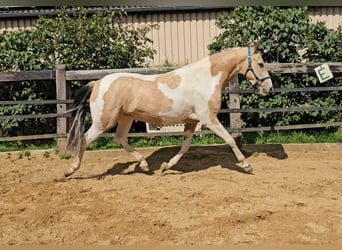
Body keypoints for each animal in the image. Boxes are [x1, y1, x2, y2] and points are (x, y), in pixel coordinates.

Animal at [64, 44, 272, 177]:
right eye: (261, 63)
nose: (269, 89)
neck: (204, 79)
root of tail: (97, 83)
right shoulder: (209, 119)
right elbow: (229, 139)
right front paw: (247, 166)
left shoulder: (192, 121)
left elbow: (185, 147)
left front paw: (166, 166)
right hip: (103, 122)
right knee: (84, 139)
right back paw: (70, 170)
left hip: (125, 118)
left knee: (120, 138)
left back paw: (145, 165)